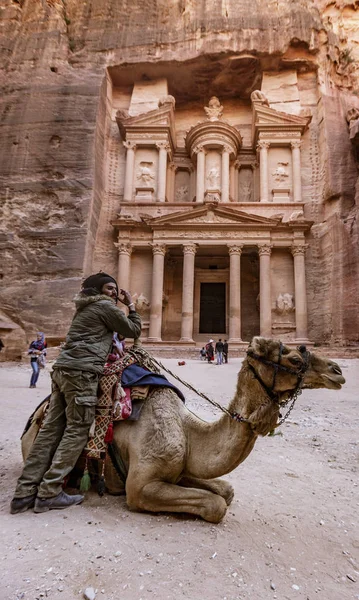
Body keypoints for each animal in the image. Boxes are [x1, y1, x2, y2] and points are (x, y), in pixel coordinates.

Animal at [21, 340, 346, 524]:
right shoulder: (139, 487)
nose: (338, 371)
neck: (189, 432)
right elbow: (216, 505)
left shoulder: (181, 469)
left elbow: (225, 491)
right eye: (294, 358)